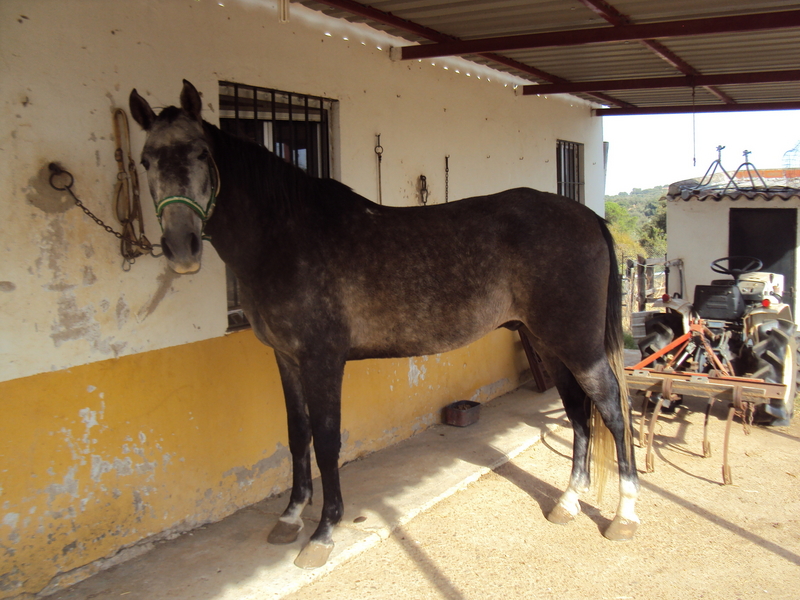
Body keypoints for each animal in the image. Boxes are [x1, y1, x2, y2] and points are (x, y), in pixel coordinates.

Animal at [129, 80, 639, 569]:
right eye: (145, 160)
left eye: (201, 154)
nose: (181, 248)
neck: (286, 237)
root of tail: (589, 216)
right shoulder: (286, 358)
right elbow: (297, 435)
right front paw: (290, 517)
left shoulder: (322, 361)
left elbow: (326, 442)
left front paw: (322, 533)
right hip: (550, 343)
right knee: (578, 410)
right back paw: (567, 503)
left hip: (577, 345)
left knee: (612, 408)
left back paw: (624, 517)